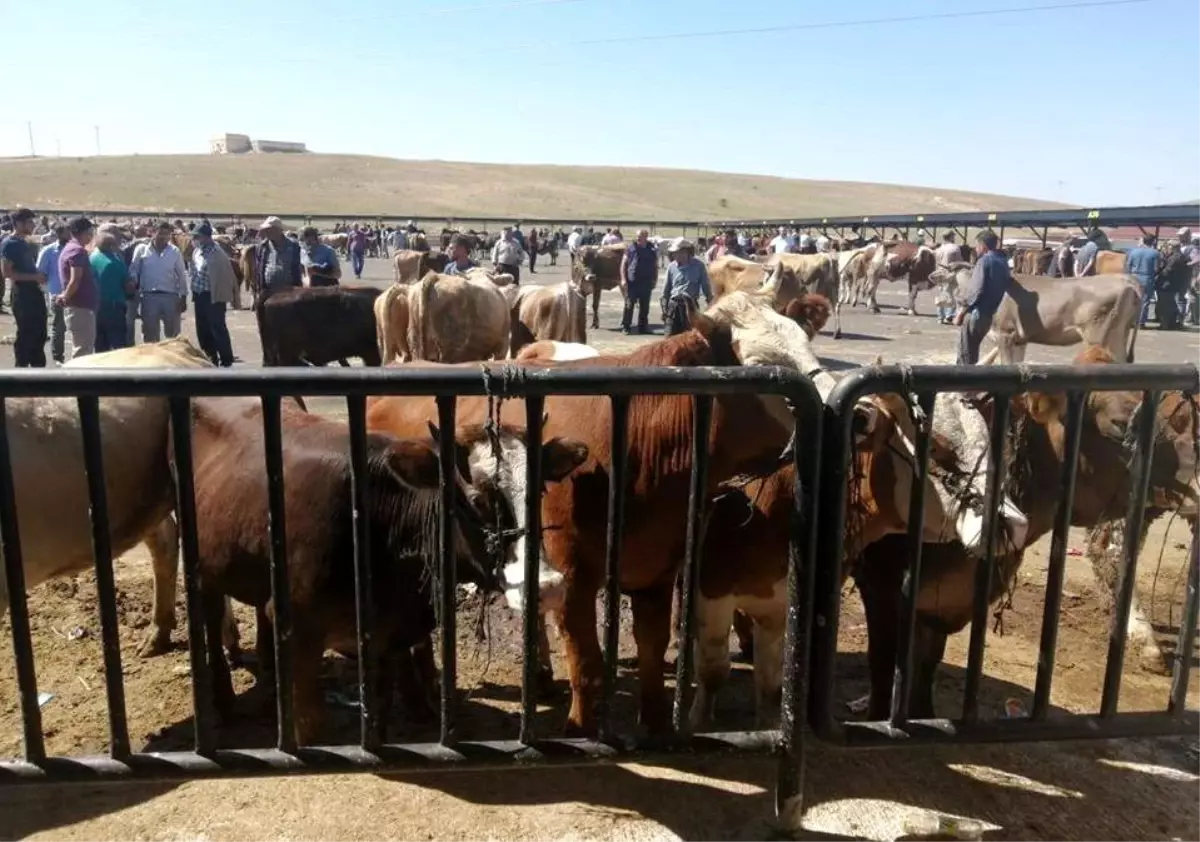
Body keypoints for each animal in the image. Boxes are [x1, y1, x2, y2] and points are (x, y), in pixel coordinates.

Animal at [187, 398, 590, 743]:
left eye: (540, 492)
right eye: (476, 500)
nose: (549, 585)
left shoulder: (389, 634)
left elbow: (378, 713)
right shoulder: (298, 627)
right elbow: (312, 728)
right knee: (210, 615)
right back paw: (224, 702)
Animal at [367, 285, 1032, 738]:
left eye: (806, 345)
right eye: (766, 367)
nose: (861, 417)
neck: (639, 445)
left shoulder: (659, 577)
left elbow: (654, 655)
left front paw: (657, 727)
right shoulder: (576, 580)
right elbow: (589, 664)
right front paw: (582, 729)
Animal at [926, 271, 1142, 362]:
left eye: (948, 280)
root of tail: (1126, 279)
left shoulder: (1005, 334)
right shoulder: (1019, 340)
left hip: (1100, 337)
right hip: (1119, 335)